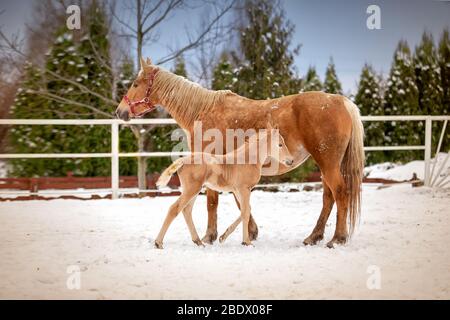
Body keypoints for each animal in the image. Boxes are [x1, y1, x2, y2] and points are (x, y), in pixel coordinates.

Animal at [116, 57, 366, 248]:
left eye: (136, 83)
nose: (120, 111)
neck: (203, 110)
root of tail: (341, 101)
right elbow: (239, 203)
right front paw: (248, 232)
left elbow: (213, 202)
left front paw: (212, 236)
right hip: (325, 165)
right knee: (328, 197)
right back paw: (313, 237)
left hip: (328, 164)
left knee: (340, 193)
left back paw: (337, 239)